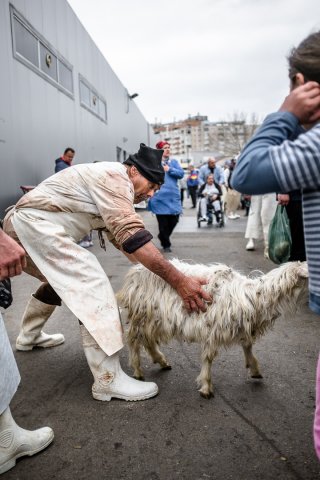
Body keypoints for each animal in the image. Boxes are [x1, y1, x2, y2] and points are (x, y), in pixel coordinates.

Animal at [116, 258, 308, 398]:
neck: (255, 296)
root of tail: (133, 274)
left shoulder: (241, 326)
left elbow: (247, 346)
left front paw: (254, 369)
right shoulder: (213, 330)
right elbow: (208, 358)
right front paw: (206, 387)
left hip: (153, 319)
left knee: (148, 341)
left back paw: (161, 361)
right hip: (142, 316)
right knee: (133, 340)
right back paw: (138, 371)